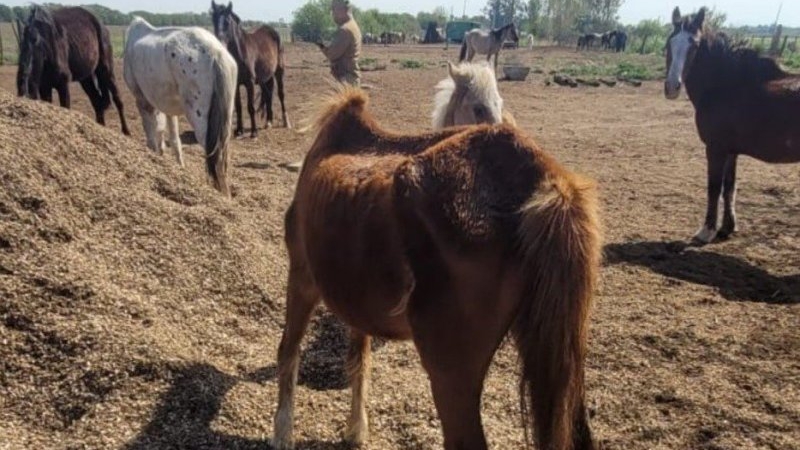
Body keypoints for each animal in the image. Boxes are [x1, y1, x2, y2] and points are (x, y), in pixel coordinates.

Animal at [16, 5, 130, 135]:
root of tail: (100, 23)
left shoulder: (63, 84)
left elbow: (66, 108)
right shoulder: (44, 87)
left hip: (106, 69)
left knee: (117, 99)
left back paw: (126, 132)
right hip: (86, 78)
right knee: (97, 102)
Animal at [123, 16, 238, 196]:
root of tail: (215, 52)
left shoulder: (143, 102)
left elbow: (152, 137)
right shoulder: (167, 107)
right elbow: (174, 140)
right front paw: (178, 169)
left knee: (216, 157)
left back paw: (222, 196)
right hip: (225, 122)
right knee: (224, 156)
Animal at [211, 1, 290, 138]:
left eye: (227, 22)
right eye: (214, 20)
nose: (219, 45)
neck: (240, 53)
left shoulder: (250, 83)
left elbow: (250, 106)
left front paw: (254, 132)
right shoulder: (236, 84)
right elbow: (238, 106)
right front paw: (239, 130)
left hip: (279, 72)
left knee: (281, 94)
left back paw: (286, 122)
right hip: (266, 78)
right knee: (268, 95)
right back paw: (268, 122)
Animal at [271, 86, 602, 450]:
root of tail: (543, 182)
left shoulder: (302, 277)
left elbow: (289, 351)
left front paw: (283, 433)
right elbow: (359, 358)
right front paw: (356, 430)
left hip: (450, 371)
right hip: (564, 362)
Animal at [665, 6, 800, 244]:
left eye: (694, 45)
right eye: (670, 42)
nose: (672, 86)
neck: (727, 85)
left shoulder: (716, 148)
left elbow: (714, 187)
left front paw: (706, 231)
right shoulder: (732, 151)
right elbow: (729, 187)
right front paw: (727, 228)